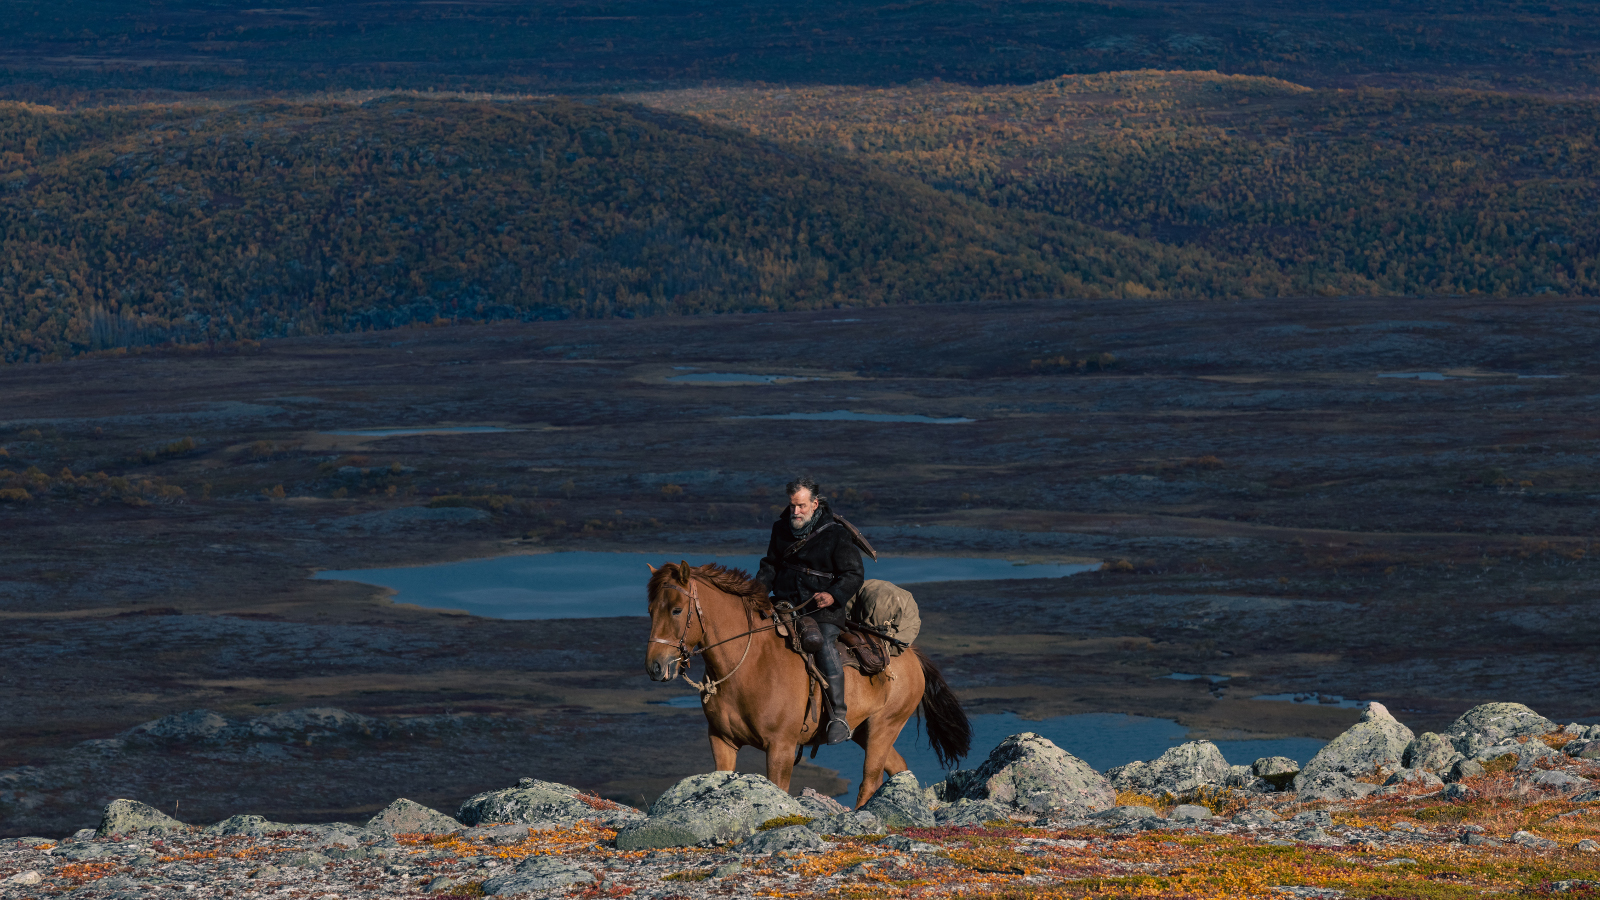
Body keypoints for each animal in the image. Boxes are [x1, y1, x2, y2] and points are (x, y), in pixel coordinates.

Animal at [643, 557, 966, 800]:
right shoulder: (722, 741)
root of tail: (910, 654)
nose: (655, 667)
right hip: (863, 731)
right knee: (898, 769)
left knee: (870, 781)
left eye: (676, 609)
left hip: (883, 728)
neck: (749, 665)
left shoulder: (781, 748)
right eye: (650, 611)